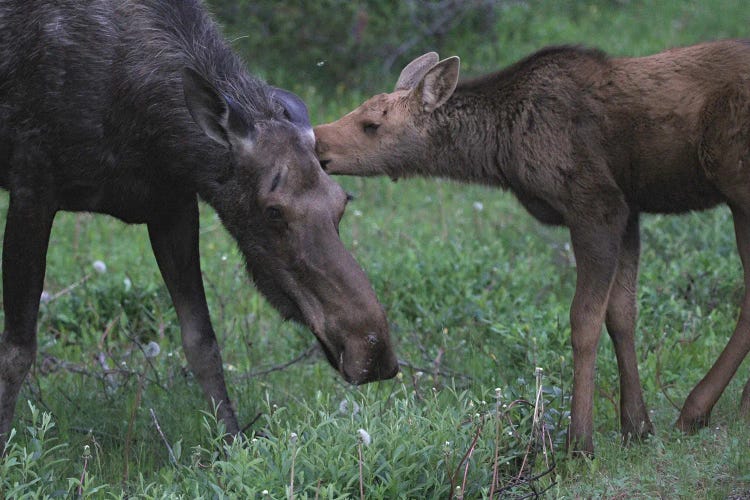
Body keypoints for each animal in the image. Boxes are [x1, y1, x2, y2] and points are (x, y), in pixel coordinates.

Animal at [0, 0, 400, 446]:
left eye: (342, 201)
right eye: (273, 210)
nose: (374, 350)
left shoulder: (173, 206)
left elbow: (202, 342)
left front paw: (232, 441)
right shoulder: (32, 188)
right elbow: (17, 350)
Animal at [314, 41, 750, 456]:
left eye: (371, 124)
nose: (316, 142)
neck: (501, 153)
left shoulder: (597, 206)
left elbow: (584, 322)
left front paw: (580, 442)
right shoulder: (629, 211)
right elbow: (622, 316)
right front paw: (637, 427)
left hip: (737, 187)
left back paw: (698, 408)